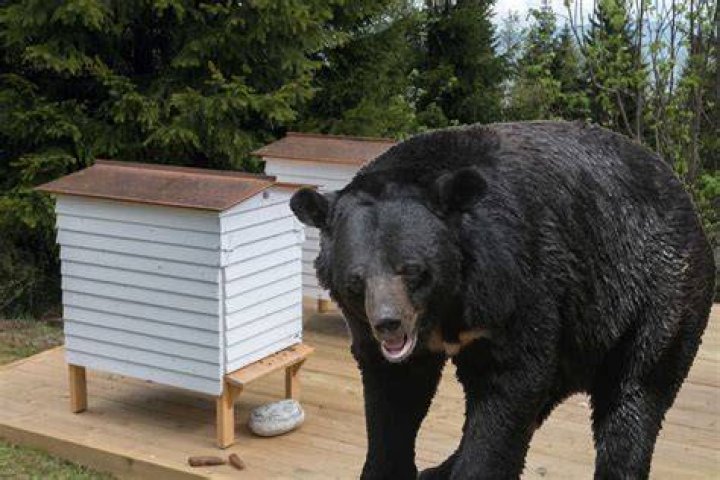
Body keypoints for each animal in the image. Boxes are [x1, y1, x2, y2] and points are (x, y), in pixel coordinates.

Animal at [289, 121, 716, 480]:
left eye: (412, 269)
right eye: (355, 280)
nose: (388, 324)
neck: (448, 305)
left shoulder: (517, 284)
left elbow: (509, 384)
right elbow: (395, 393)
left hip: (656, 294)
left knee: (635, 393)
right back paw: (440, 468)